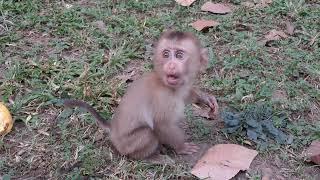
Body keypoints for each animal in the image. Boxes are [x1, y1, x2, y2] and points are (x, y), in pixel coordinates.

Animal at [63, 30, 219, 160]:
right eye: (166, 54)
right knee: (148, 133)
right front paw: (181, 147)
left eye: (179, 55)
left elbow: (186, 95)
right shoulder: (163, 98)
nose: (171, 65)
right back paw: (153, 158)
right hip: (126, 145)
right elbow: (162, 125)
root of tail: (113, 130)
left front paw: (205, 98)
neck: (167, 85)